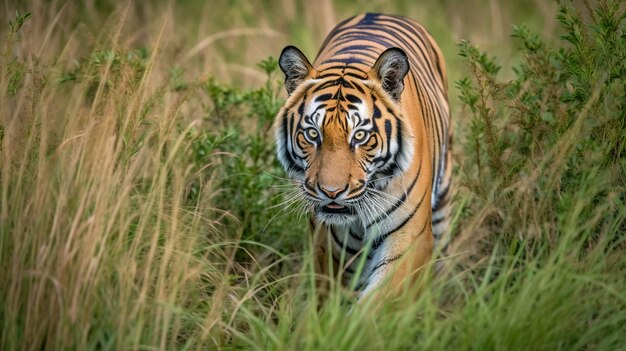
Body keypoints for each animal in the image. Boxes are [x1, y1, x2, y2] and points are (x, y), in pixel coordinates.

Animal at [272, 13, 448, 300]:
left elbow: (378, 301)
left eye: (360, 136)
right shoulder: (327, 244)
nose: (331, 192)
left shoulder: (410, 237)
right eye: (312, 133)